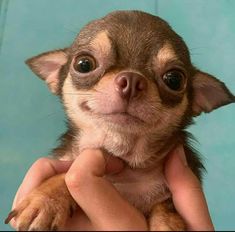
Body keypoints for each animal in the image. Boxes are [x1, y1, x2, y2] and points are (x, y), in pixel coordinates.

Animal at [5, 10, 233, 229]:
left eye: (174, 79)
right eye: (84, 64)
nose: (131, 80)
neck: (125, 162)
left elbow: (165, 206)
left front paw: (167, 224)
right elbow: (67, 170)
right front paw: (46, 199)